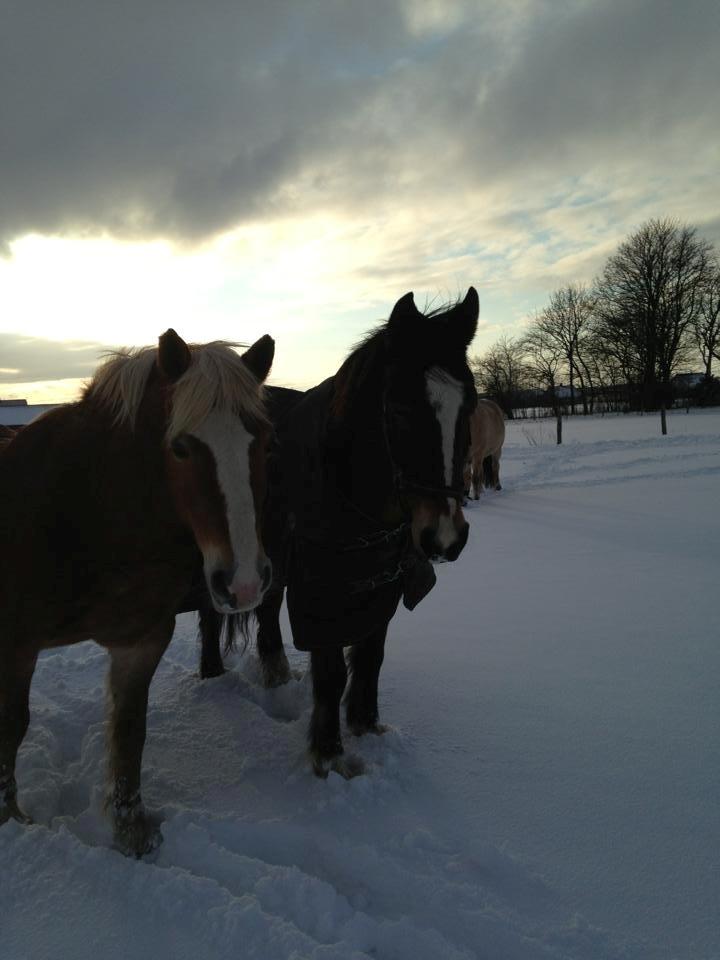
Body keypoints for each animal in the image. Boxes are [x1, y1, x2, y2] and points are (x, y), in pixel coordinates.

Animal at [0, 330, 276, 856]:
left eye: (261, 440)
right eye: (181, 447)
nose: (244, 582)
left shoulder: (140, 642)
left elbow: (130, 733)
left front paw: (132, 831)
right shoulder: (16, 647)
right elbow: (11, 727)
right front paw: (9, 820)